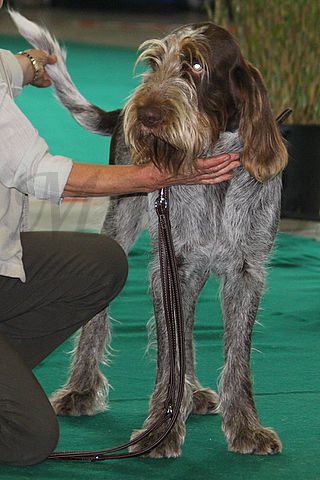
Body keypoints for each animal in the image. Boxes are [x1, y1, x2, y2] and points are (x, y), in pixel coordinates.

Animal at [11, 11, 288, 458]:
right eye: (154, 63)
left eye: (196, 66)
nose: (147, 115)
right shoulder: (170, 266)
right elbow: (169, 351)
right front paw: (162, 429)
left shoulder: (247, 272)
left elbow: (236, 357)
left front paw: (246, 427)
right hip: (121, 224)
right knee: (102, 317)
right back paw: (82, 390)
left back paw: (192, 393)